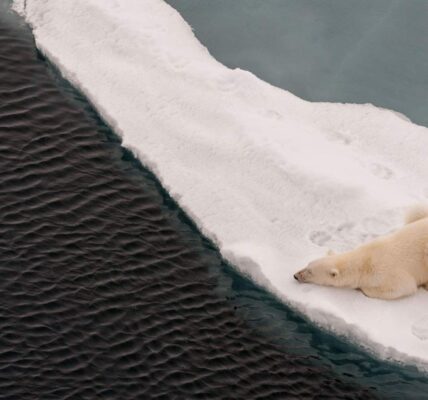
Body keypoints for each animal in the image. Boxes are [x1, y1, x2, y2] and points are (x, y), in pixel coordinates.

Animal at [294, 205, 428, 298]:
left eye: (310, 272)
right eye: (307, 265)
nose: (295, 275)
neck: (366, 261)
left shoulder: (388, 272)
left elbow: (404, 287)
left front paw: (361, 289)